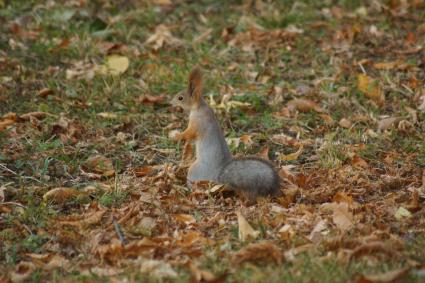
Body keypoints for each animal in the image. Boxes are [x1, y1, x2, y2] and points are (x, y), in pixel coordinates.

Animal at [169, 67, 282, 201]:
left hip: (194, 171)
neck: (199, 108)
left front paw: (176, 136)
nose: (170, 103)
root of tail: (219, 175)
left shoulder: (197, 123)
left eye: (180, 98)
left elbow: (189, 133)